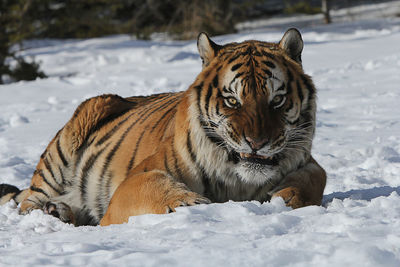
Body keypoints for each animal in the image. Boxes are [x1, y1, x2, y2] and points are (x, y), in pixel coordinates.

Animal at [0, 28, 324, 226]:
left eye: (277, 99)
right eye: (232, 100)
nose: (257, 143)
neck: (239, 180)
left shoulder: (309, 161)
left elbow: (316, 178)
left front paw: (285, 197)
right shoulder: (134, 179)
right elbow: (154, 186)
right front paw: (190, 202)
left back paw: (61, 211)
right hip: (66, 147)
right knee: (28, 203)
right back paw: (52, 212)